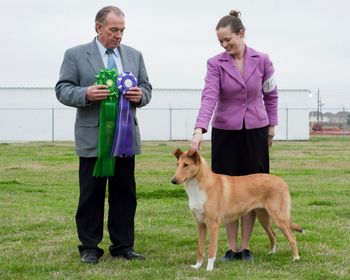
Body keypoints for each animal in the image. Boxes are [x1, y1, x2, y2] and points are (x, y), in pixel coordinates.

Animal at [171, 149, 302, 272]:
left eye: (186, 165)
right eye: (177, 164)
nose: (173, 180)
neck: (199, 187)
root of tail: (282, 181)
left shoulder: (213, 224)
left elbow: (211, 250)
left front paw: (209, 268)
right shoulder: (200, 224)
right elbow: (200, 249)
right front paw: (197, 266)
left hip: (279, 218)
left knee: (292, 238)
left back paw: (296, 258)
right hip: (263, 218)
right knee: (273, 234)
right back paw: (272, 252)